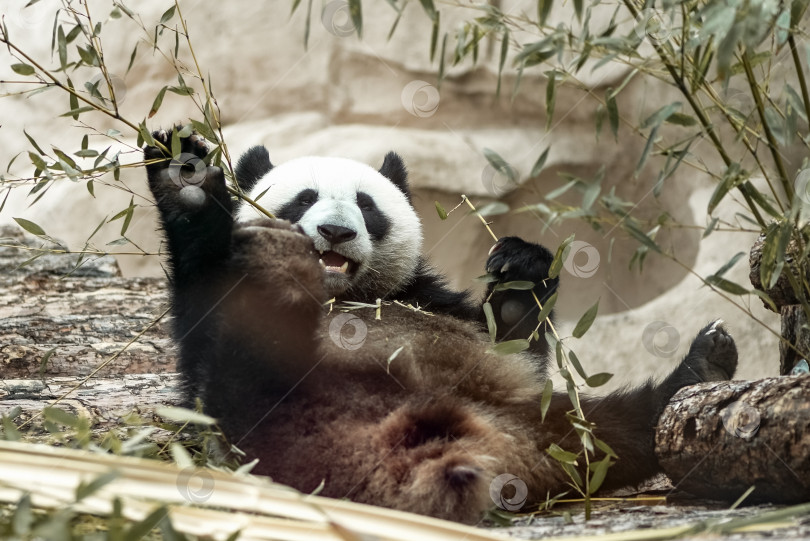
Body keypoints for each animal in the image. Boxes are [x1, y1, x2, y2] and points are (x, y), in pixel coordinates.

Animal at [142, 130, 736, 524]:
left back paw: (700, 370)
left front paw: (518, 273)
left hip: (537, 424)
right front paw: (184, 176)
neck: (348, 296)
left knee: (615, 430)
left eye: (366, 206)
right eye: (304, 199)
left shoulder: (425, 297)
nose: (335, 232)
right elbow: (204, 308)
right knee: (249, 379)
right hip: (267, 438)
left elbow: (512, 343)